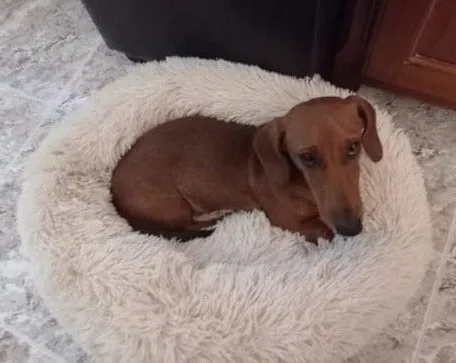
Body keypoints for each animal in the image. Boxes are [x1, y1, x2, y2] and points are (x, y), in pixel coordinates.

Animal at [110, 95, 382, 243]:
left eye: (354, 147)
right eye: (307, 158)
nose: (351, 229)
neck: (302, 186)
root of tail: (112, 190)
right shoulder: (286, 221)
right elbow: (322, 228)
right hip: (172, 205)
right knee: (187, 226)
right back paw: (220, 217)